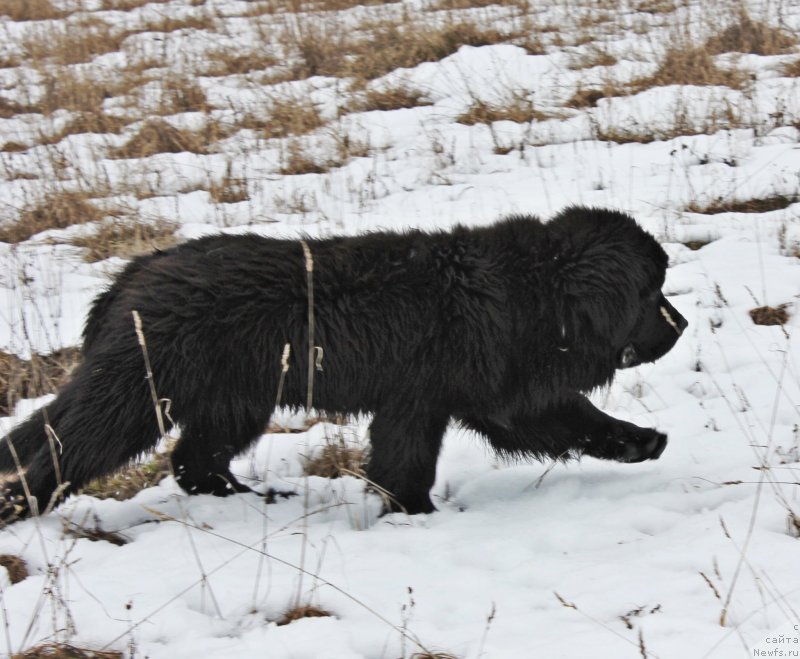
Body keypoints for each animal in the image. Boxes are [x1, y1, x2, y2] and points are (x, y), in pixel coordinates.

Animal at [0, 206, 688, 520]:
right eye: (652, 293)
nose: (682, 325)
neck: (533, 290)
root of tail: (135, 273)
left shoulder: (495, 394)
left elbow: (575, 420)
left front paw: (642, 441)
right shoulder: (419, 400)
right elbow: (404, 463)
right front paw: (415, 516)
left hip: (235, 399)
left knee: (194, 461)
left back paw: (256, 498)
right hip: (142, 393)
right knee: (71, 446)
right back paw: (20, 507)